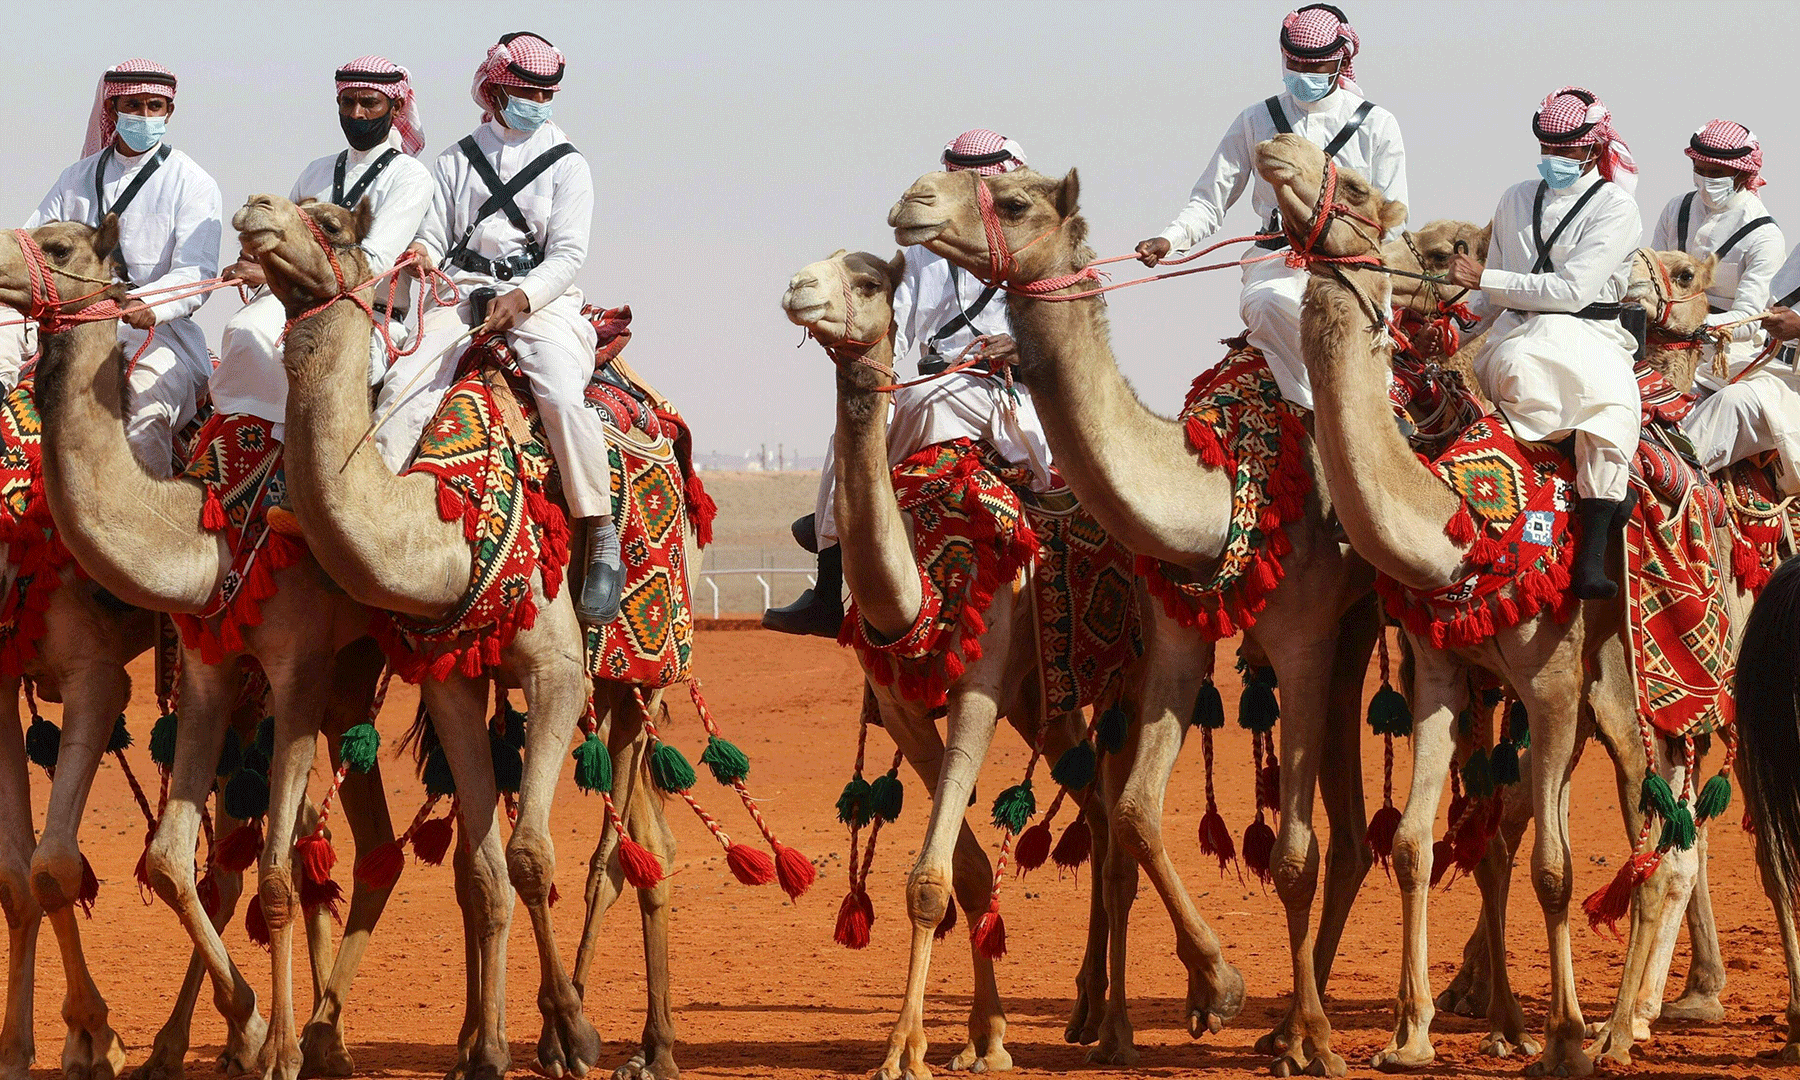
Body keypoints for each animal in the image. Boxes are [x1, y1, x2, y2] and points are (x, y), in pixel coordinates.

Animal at [0, 220, 407, 1080]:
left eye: (61, 245)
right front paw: (27, 1049)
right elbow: (33, 874)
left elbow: (56, 866)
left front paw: (100, 1037)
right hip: (329, 681)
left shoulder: (103, 674)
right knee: (305, 847)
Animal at [237, 192, 680, 1080]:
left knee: (620, 852)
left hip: (637, 674)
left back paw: (626, 1043)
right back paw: (631, 1044)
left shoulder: (556, 671)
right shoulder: (450, 677)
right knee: (643, 841)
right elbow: (483, 870)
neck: (448, 517)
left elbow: (533, 857)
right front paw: (491, 1051)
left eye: (331, 222)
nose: (257, 211)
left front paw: (575, 1032)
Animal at [781, 249, 1117, 1080]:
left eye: (868, 281)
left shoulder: (977, 689)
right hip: (1040, 701)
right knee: (1098, 808)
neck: (921, 593)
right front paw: (983, 1036)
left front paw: (905, 1050)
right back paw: (1088, 1007)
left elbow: (931, 879)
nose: (800, 288)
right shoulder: (903, 707)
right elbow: (961, 874)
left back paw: (1108, 1010)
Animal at [888, 169, 1384, 1077]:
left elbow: (1291, 858)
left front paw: (1305, 1035)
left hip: (1361, 627)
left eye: (1015, 200)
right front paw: (1220, 989)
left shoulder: (1304, 635)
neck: (1218, 491)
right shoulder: (1177, 630)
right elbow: (1135, 815)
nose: (913, 201)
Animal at [1257, 132, 1746, 1074]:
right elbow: (1416, 843)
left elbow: (1554, 866)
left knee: (1660, 845)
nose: (1279, 147)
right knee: (1657, 843)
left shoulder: (1552, 685)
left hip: (1647, 693)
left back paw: (1618, 1030)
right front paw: (1411, 1035)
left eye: (1359, 186)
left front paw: (1559, 1040)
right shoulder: (1444, 669)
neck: (1462, 524)